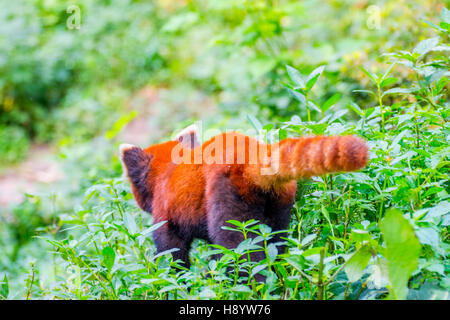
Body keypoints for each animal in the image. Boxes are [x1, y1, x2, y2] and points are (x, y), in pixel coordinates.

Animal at [120, 126, 370, 274]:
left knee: (237, 248)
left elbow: (172, 253)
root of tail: (252, 155)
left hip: (228, 199)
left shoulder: (166, 213)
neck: (166, 171)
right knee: (276, 243)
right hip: (279, 202)